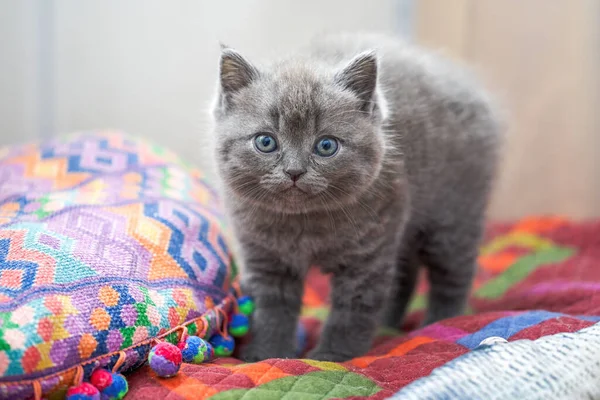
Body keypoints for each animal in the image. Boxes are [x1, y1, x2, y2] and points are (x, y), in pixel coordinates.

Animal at [211, 32, 502, 360]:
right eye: (265, 142)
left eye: (326, 146)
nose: (294, 171)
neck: (303, 225)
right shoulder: (265, 258)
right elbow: (271, 309)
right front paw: (268, 354)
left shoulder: (367, 255)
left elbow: (352, 310)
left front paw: (332, 357)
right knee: (404, 274)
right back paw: (388, 325)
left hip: (452, 218)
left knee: (452, 275)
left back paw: (442, 321)